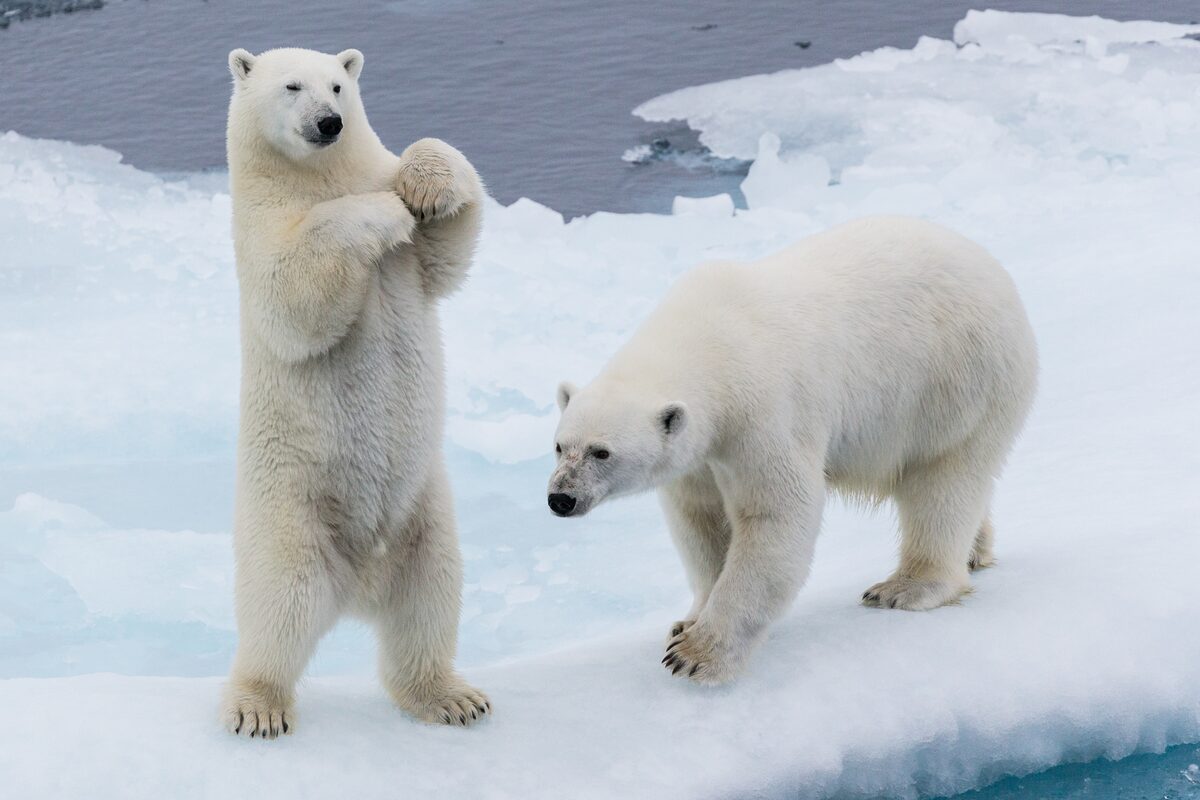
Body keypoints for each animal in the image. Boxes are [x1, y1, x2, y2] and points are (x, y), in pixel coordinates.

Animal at [221, 46, 489, 737]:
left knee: (429, 600)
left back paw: (451, 696)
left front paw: (423, 187)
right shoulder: (259, 229)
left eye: (339, 85)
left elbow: (449, 249)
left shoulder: (414, 260)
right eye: (292, 86)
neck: (317, 176)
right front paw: (384, 212)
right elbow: (295, 295)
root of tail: (360, 586)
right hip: (290, 513)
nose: (329, 123)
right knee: (278, 610)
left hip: (424, 515)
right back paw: (258, 706)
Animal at [547, 215, 1037, 685]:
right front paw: (687, 621)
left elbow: (775, 513)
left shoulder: (763, 411)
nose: (560, 499)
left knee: (943, 480)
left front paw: (696, 654)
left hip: (955, 380)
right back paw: (976, 550)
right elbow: (701, 519)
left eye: (601, 452)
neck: (709, 340)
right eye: (559, 446)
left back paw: (905, 586)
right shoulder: (701, 452)